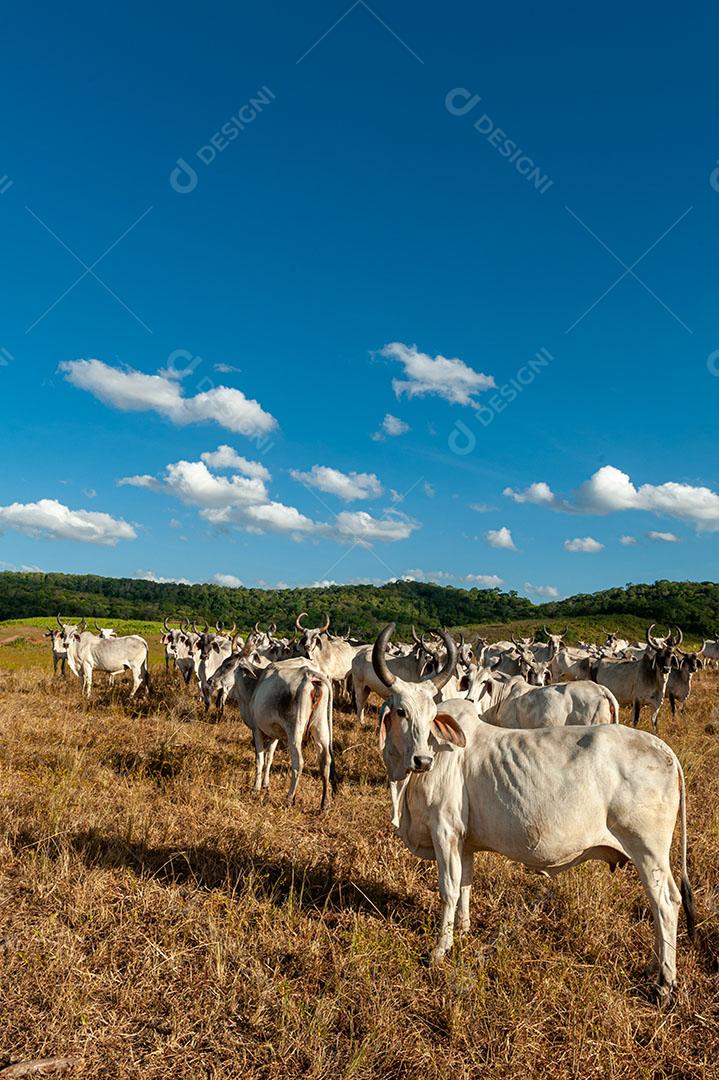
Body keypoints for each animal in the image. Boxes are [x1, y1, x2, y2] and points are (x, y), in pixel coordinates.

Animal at [369, 626, 690, 1002]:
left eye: (432, 714)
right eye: (400, 711)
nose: (422, 760)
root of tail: (664, 749)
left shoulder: (444, 832)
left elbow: (448, 889)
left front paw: (440, 949)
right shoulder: (464, 841)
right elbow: (465, 884)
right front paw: (463, 929)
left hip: (649, 851)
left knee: (666, 902)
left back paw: (664, 982)